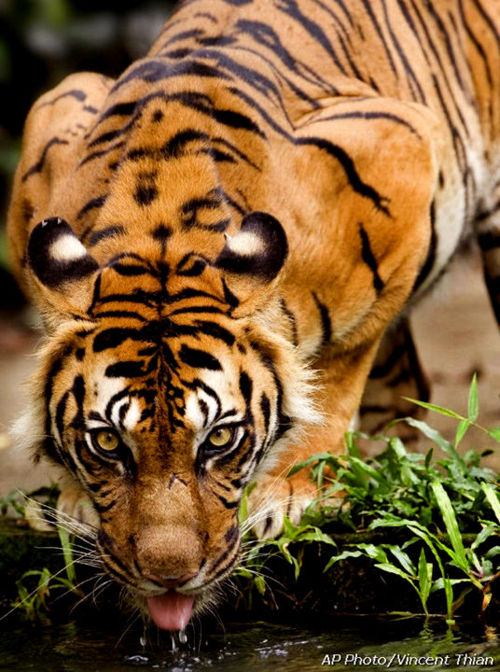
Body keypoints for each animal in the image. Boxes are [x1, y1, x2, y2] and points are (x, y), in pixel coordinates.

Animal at [6, 0, 499, 631]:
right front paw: (74, 503)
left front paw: (295, 492)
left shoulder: (403, 146)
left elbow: (335, 372)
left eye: (220, 439)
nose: (169, 577)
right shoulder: (54, 114)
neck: (159, 239)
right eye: (108, 444)